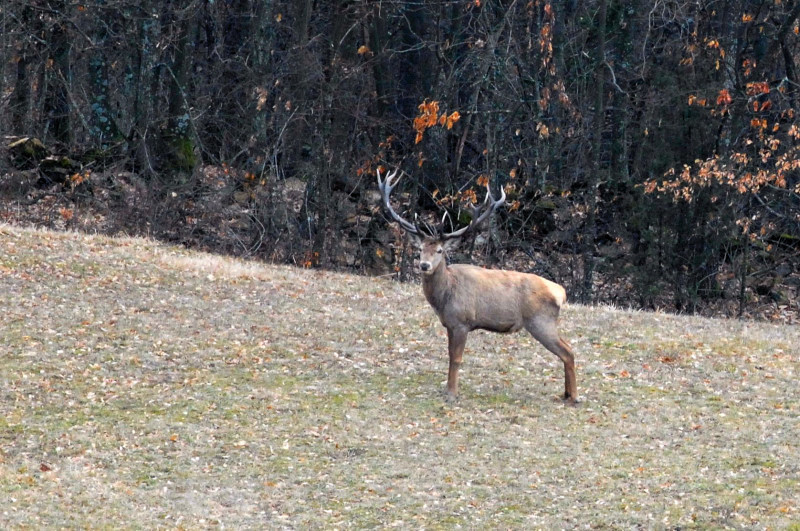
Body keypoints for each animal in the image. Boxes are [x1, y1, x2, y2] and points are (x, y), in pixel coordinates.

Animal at [376, 168, 576, 406]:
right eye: (420, 249)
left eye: (440, 250)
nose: (424, 265)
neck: (445, 296)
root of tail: (561, 292)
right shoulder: (449, 324)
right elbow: (449, 355)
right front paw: (447, 390)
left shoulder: (462, 321)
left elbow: (456, 358)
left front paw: (452, 394)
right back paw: (566, 394)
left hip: (540, 320)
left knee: (568, 351)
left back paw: (573, 397)